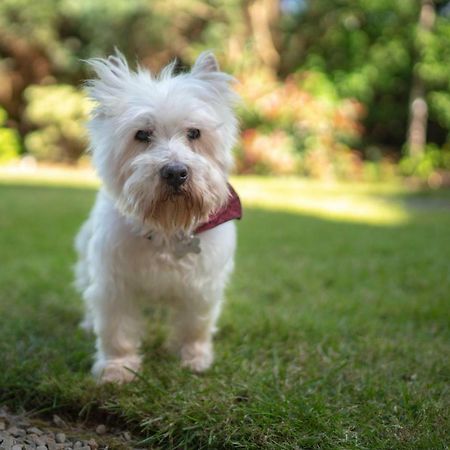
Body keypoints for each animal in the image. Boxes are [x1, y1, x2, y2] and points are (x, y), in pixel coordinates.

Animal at [75, 50, 241, 384]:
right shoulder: (115, 282)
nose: (175, 172)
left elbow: (195, 325)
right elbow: (117, 329)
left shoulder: (202, 285)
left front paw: (194, 359)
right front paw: (117, 368)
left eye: (194, 133)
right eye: (142, 134)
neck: (167, 226)